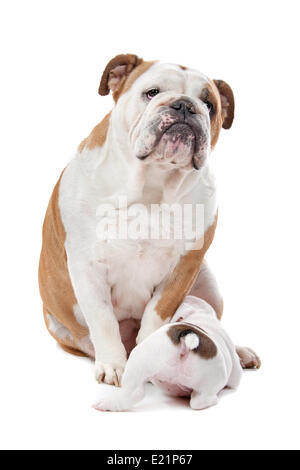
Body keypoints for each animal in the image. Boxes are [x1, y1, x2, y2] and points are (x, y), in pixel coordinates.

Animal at [39, 53, 260, 388]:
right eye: (152, 92)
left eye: (209, 105)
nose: (185, 105)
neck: (153, 184)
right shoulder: (87, 266)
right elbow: (103, 320)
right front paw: (113, 366)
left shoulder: (184, 267)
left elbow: (157, 314)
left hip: (209, 286)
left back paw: (238, 352)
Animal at [94, 298, 244, 412]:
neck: (200, 314)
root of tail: (186, 338)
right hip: (212, 378)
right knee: (200, 401)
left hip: (142, 360)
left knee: (133, 393)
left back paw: (107, 404)